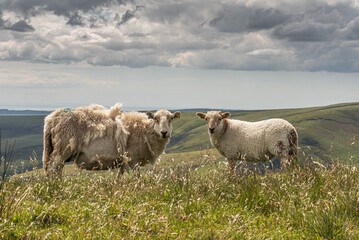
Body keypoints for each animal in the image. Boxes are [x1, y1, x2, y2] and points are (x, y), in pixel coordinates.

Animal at [43, 103, 181, 178]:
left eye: (171, 118)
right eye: (156, 118)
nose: (164, 132)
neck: (144, 130)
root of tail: (50, 119)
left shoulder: (123, 160)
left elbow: (119, 177)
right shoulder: (133, 159)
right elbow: (138, 177)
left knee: (57, 169)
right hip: (62, 148)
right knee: (52, 169)